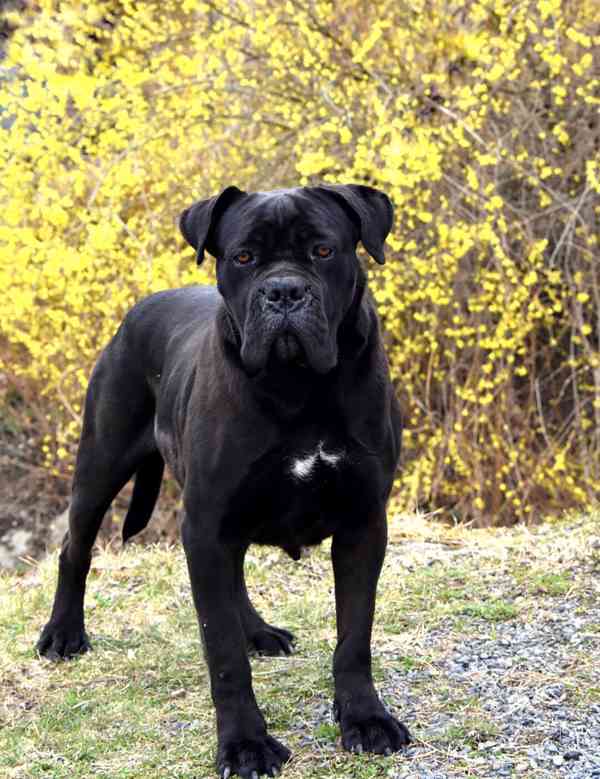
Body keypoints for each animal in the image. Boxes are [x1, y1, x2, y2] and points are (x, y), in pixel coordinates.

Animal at [38, 186, 412, 776]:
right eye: (243, 257)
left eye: (323, 251)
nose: (283, 291)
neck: (298, 384)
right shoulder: (207, 523)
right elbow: (224, 655)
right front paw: (245, 744)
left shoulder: (362, 523)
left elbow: (355, 635)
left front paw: (365, 719)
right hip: (100, 467)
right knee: (75, 550)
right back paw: (63, 633)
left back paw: (259, 631)